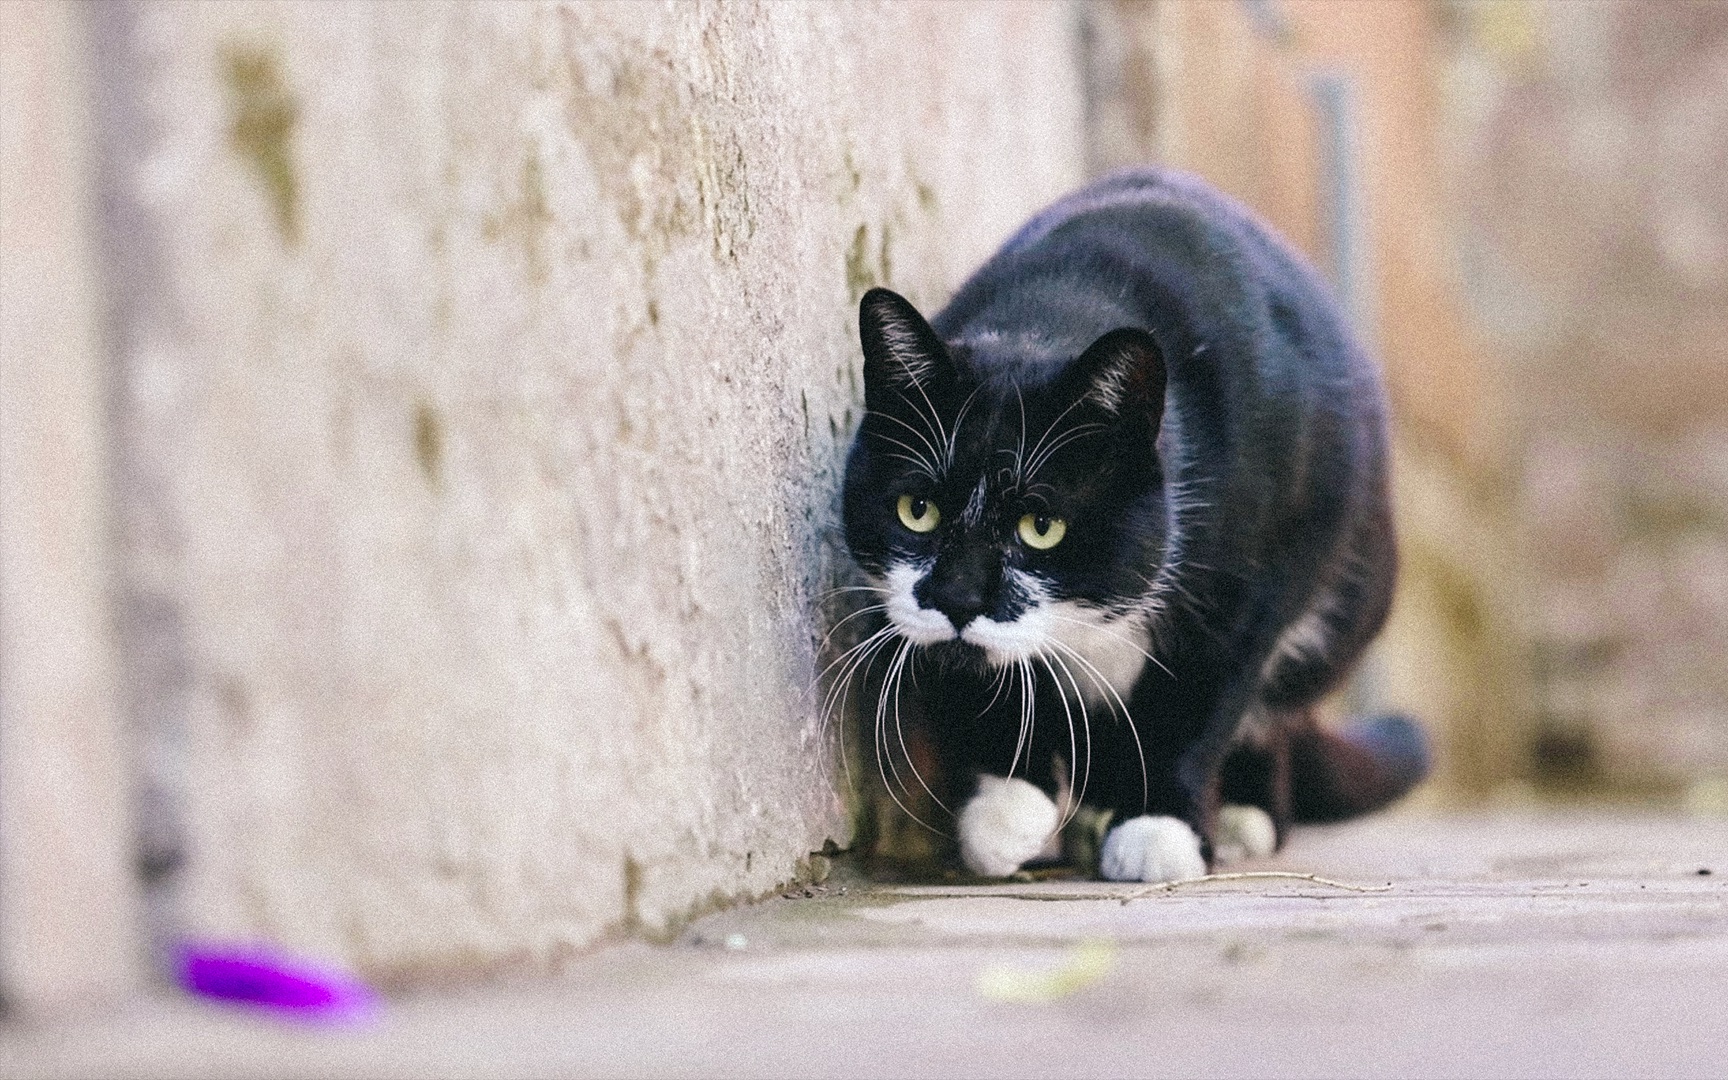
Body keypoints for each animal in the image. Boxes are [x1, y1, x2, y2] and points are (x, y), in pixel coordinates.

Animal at [839, 164, 1430, 881]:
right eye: (917, 511)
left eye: (1042, 526)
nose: (956, 596)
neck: (1055, 310)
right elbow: (992, 675)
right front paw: (1006, 808)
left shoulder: (1252, 586)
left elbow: (1198, 699)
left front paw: (1159, 829)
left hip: (1348, 596)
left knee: (1275, 707)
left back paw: (1244, 814)